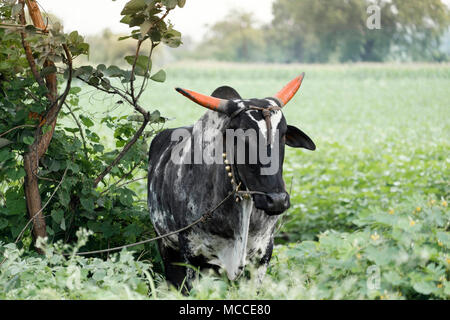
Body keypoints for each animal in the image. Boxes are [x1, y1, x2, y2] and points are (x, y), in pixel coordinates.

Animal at [149, 75, 316, 290]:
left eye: (284, 134)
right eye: (241, 135)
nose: (277, 200)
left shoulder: (262, 257)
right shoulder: (194, 257)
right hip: (166, 245)